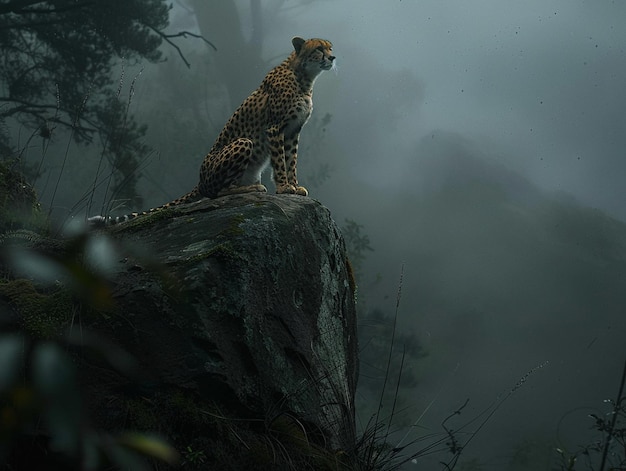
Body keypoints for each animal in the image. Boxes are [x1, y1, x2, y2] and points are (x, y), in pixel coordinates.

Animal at [89, 37, 334, 225]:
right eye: (319, 49)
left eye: (330, 47)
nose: (332, 58)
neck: (304, 78)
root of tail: (199, 181)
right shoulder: (275, 128)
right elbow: (280, 162)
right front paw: (283, 187)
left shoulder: (293, 131)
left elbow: (291, 160)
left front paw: (295, 186)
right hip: (244, 142)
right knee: (217, 192)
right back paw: (249, 189)